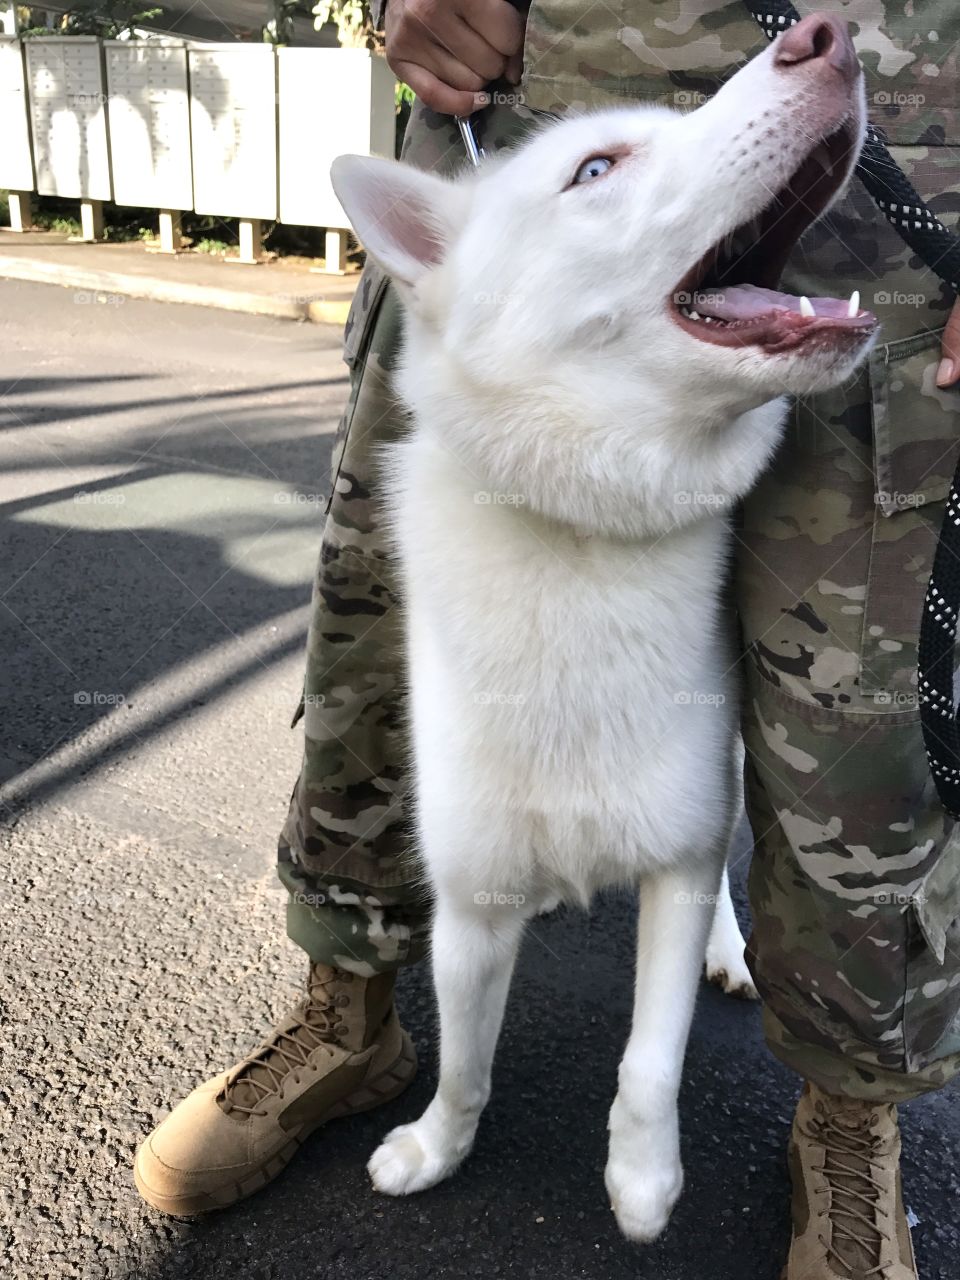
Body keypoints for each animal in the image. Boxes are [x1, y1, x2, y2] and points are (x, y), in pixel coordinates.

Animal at [332, 15, 880, 1244]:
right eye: (596, 170)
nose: (828, 35)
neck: (582, 529)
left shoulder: (673, 861)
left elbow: (650, 1059)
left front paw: (642, 1182)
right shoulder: (470, 905)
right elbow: (466, 1064)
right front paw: (434, 1150)